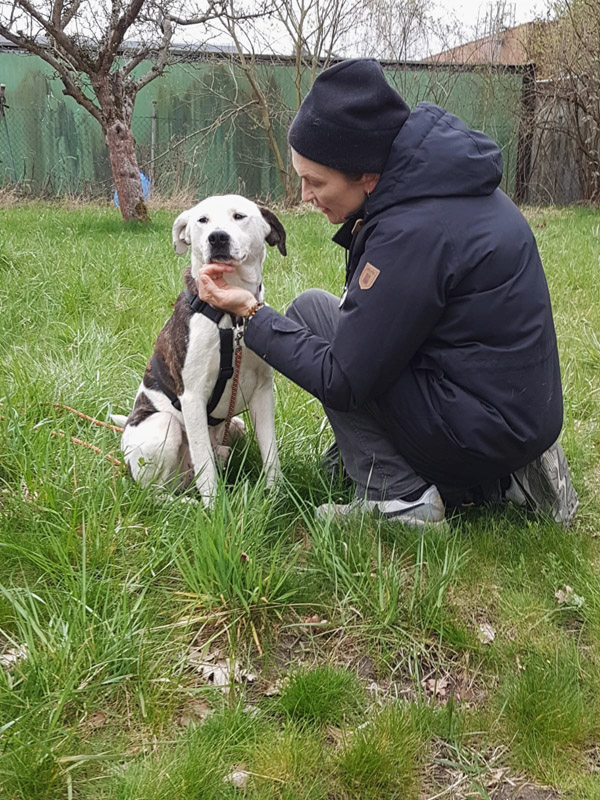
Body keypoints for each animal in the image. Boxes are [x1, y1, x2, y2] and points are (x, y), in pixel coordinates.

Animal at [112, 194, 286, 506]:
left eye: (239, 216)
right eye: (202, 220)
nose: (217, 237)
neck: (230, 318)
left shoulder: (263, 391)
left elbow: (270, 452)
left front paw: (275, 496)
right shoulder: (192, 398)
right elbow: (205, 467)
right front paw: (214, 509)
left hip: (236, 425)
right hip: (163, 425)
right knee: (154, 493)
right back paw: (187, 505)